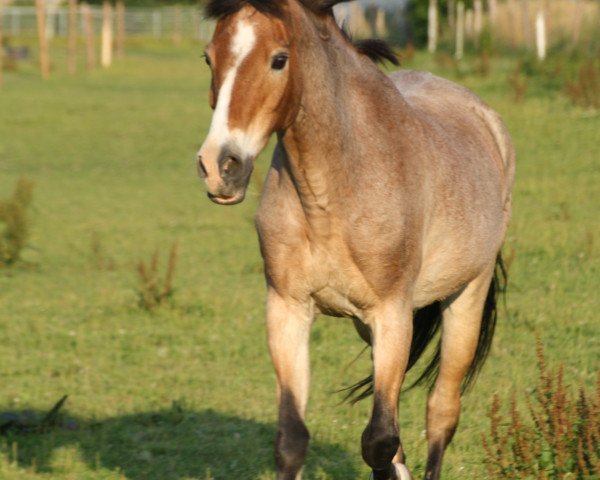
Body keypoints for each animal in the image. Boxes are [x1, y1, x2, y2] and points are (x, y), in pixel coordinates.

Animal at [196, 0, 516, 480]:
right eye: (209, 57)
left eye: (279, 59)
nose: (220, 167)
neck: (332, 193)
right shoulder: (288, 309)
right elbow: (294, 440)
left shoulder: (392, 314)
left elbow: (380, 441)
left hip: (465, 298)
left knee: (441, 411)